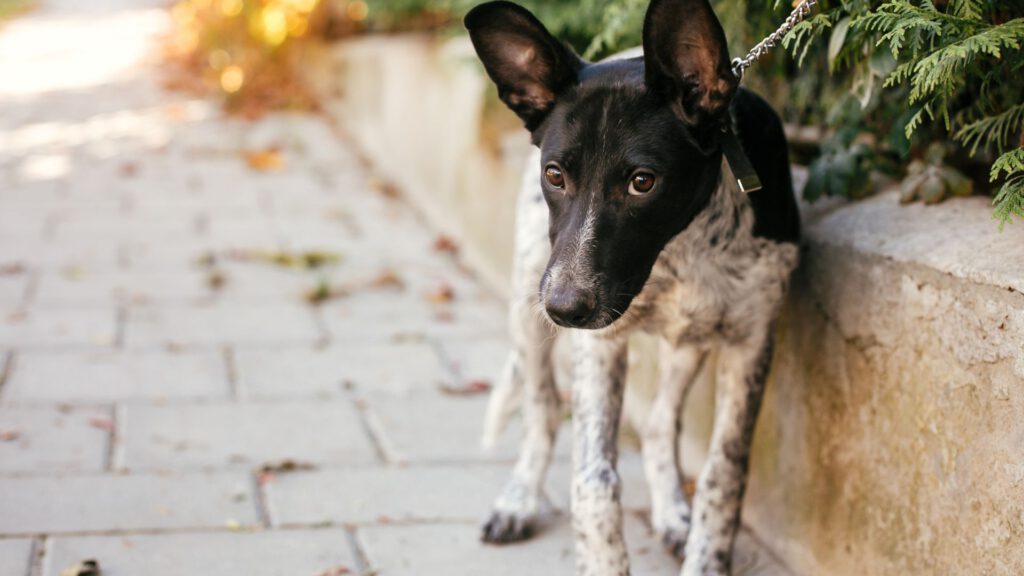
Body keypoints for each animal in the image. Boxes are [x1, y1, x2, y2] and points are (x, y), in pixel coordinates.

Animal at [468, 2, 802, 569]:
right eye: (554, 175)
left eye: (642, 182)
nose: (564, 309)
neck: (685, 245)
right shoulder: (598, 342)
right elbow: (593, 483)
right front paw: (601, 557)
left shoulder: (751, 339)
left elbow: (722, 476)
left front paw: (707, 556)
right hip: (528, 304)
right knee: (542, 412)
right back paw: (519, 500)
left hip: (688, 339)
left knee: (658, 424)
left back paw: (672, 513)